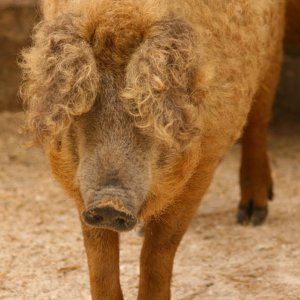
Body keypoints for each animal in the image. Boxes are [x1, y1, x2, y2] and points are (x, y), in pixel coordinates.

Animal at [19, 0, 286, 300]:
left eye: (144, 106)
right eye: (87, 99)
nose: (110, 202)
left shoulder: (204, 163)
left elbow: (159, 249)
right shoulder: (76, 180)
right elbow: (99, 256)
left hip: (272, 49)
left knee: (259, 117)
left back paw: (252, 216)